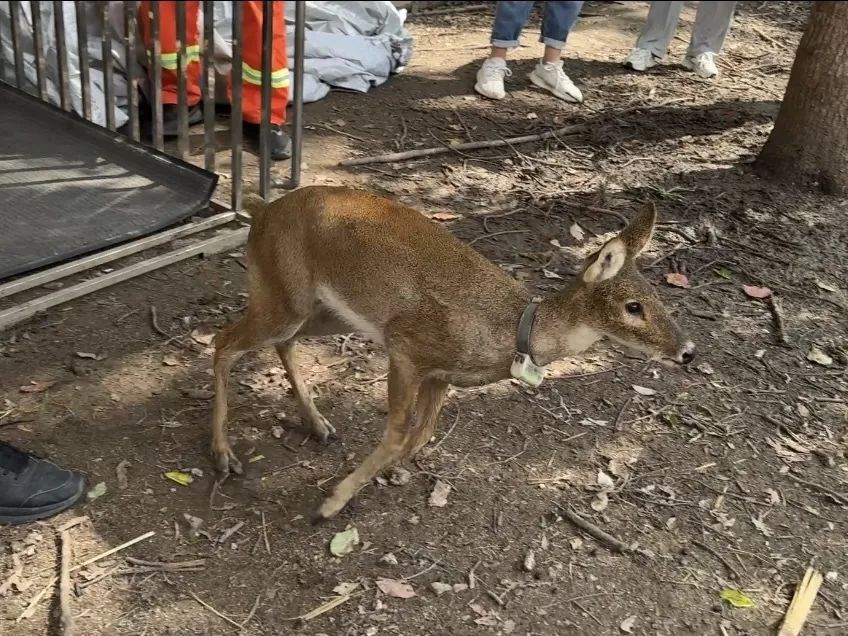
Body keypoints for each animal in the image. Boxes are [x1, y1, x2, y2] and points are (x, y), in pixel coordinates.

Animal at [212, 185, 696, 520]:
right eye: (633, 307)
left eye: (658, 296)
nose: (688, 350)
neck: (509, 333)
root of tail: (261, 210)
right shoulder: (406, 348)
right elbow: (398, 433)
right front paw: (330, 504)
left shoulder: (440, 376)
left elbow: (421, 435)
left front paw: (367, 481)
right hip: (282, 293)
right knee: (223, 341)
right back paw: (224, 455)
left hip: (322, 311)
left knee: (279, 342)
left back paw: (318, 424)